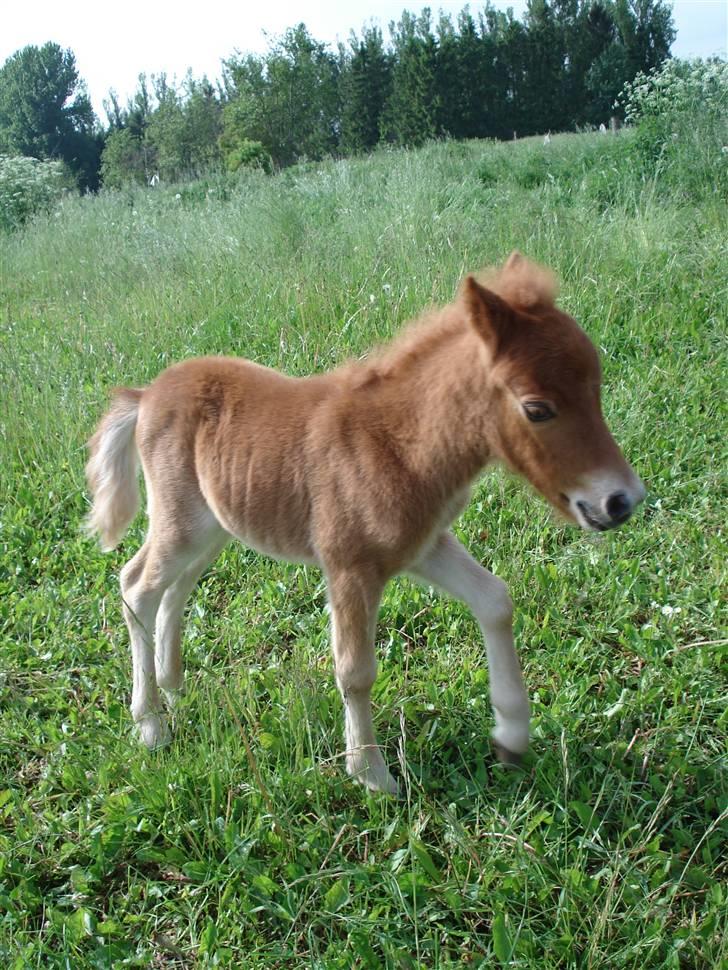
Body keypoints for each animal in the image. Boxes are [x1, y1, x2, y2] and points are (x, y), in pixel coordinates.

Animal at [85, 253, 644, 792]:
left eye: (595, 386)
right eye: (537, 409)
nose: (622, 500)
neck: (399, 442)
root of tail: (145, 395)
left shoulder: (422, 545)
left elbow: (495, 599)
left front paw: (511, 736)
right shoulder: (350, 566)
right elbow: (355, 672)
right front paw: (372, 775)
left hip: (212, 528)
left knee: (174, 591)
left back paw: (175, 689)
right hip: (180, 520)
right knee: (137, 585)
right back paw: (151, 724)